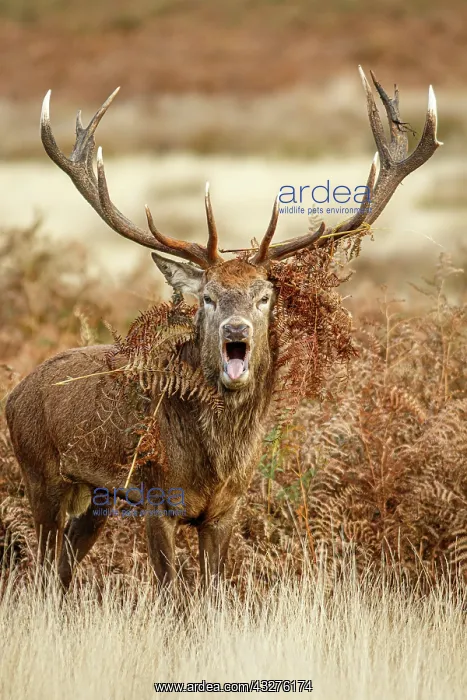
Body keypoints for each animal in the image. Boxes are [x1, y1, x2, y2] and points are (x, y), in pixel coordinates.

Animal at [5, 68, 441, 589]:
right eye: (208, 296)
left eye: (264, 295)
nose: (237, 330)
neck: (215, 464)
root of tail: (14, 394)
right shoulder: (157, 497)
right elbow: (173, 593)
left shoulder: (225, 510)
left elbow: (215, 592)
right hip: (40, 475)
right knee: (40, 567)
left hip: (98, 495)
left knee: (64, 564)